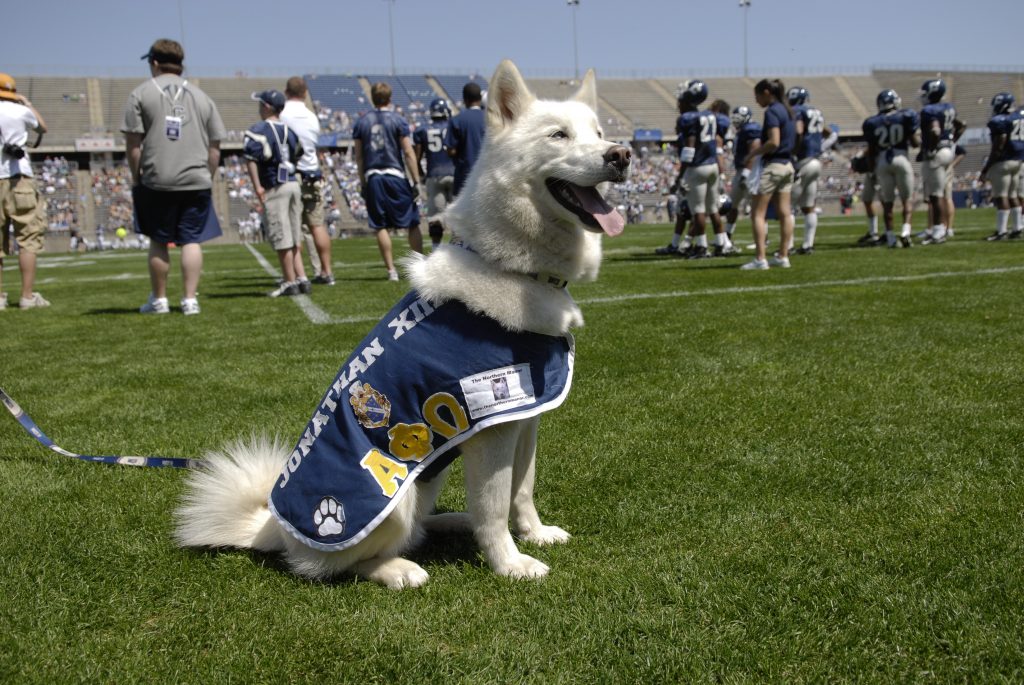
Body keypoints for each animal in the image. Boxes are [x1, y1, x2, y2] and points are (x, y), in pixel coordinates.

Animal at [172, 60, 626, 589]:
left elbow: (523, 490)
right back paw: (399, 568)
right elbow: (494, 507)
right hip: (396, 493)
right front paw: (510, 564)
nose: (622, 155)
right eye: (558, 135)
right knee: (346, 565)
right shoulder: (492, 430)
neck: (515, 268)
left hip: (431, 475)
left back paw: (451, 523)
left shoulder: (526, 416)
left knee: (419, 529)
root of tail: (272, 528)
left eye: (599, 133)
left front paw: (534, 534)